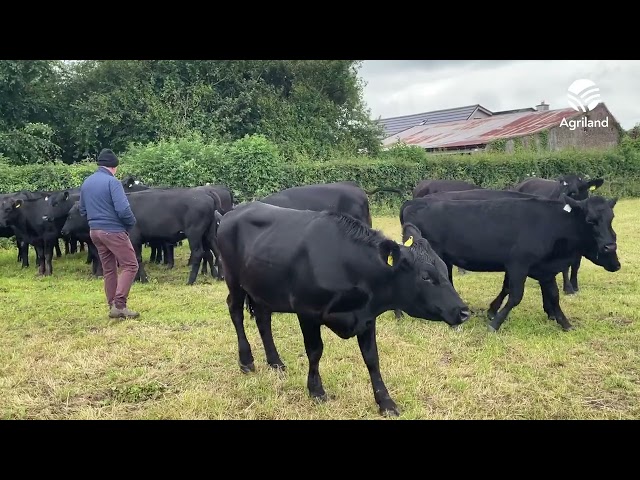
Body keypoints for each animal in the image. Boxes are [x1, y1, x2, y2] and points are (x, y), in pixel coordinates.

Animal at [215, 202, 470, 416]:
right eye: (426, 276)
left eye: (443, 266)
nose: (464, 311)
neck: (347, 264)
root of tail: (232, 211)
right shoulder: (307, 312)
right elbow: (315, 351)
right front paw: (316, 390)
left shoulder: (367, 317)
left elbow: (372, 358)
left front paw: (386, 402)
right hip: (234, 280)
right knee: (235, 312)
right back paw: (246, 361)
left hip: (262, 289)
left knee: (263, 319)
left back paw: (275, 362)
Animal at [400, 193, 620, 332]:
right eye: (590, 220)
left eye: (611, 218)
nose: (610, 247)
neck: (552, 223)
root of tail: (413, 202)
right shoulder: (518, 265)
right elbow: (515, 296)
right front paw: (495, 322)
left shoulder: (545, 270)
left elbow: (554, 296)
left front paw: (564, 323)